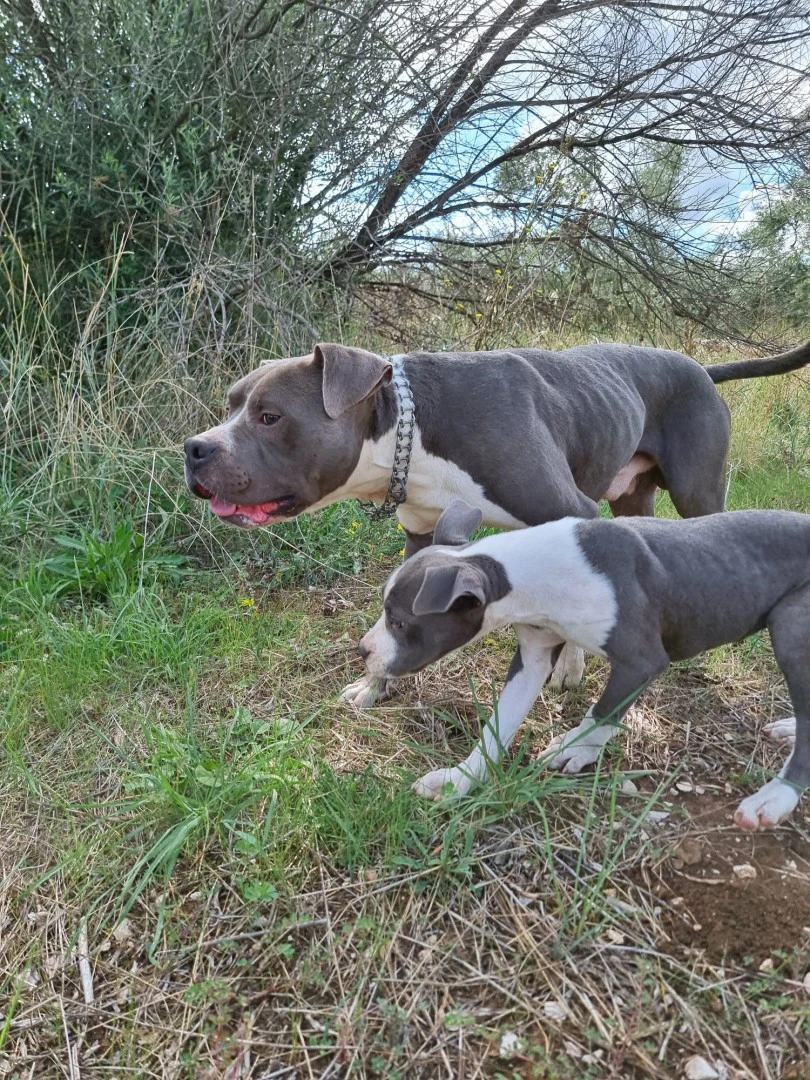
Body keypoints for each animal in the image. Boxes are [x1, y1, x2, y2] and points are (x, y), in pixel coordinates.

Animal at [183, 339, 810, 708]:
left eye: (270, 417)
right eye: (230, 404)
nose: (193, 449)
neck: (412, 427)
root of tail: (701, 367)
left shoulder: (570, 508)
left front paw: (569, 664)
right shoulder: (420, 536)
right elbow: (397, 616)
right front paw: (373, 684)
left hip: (698, 490)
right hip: (635, 494)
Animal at [360, 496, 810, 825]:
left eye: (399, 622)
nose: (363, 650)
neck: (526, 575)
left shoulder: (641, 662)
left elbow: (603, 712)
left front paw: (576, 749)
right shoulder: (533, 656)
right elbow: (497, 727)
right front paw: (460, 779)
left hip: (792, 629)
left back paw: (776, 797)